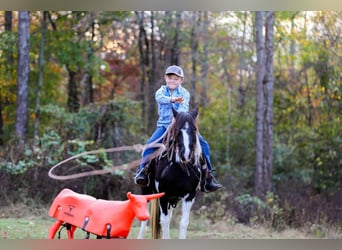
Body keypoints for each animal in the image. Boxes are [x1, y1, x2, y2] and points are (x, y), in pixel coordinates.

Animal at [137, 108, 206, 240]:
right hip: (146, 192)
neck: (180, 168)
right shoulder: (163, 195)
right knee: (145, 219)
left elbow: (183, 223)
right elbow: (164, 222)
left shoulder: (189, 196)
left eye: (194, 130)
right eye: (177, 130)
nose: (186, 154)